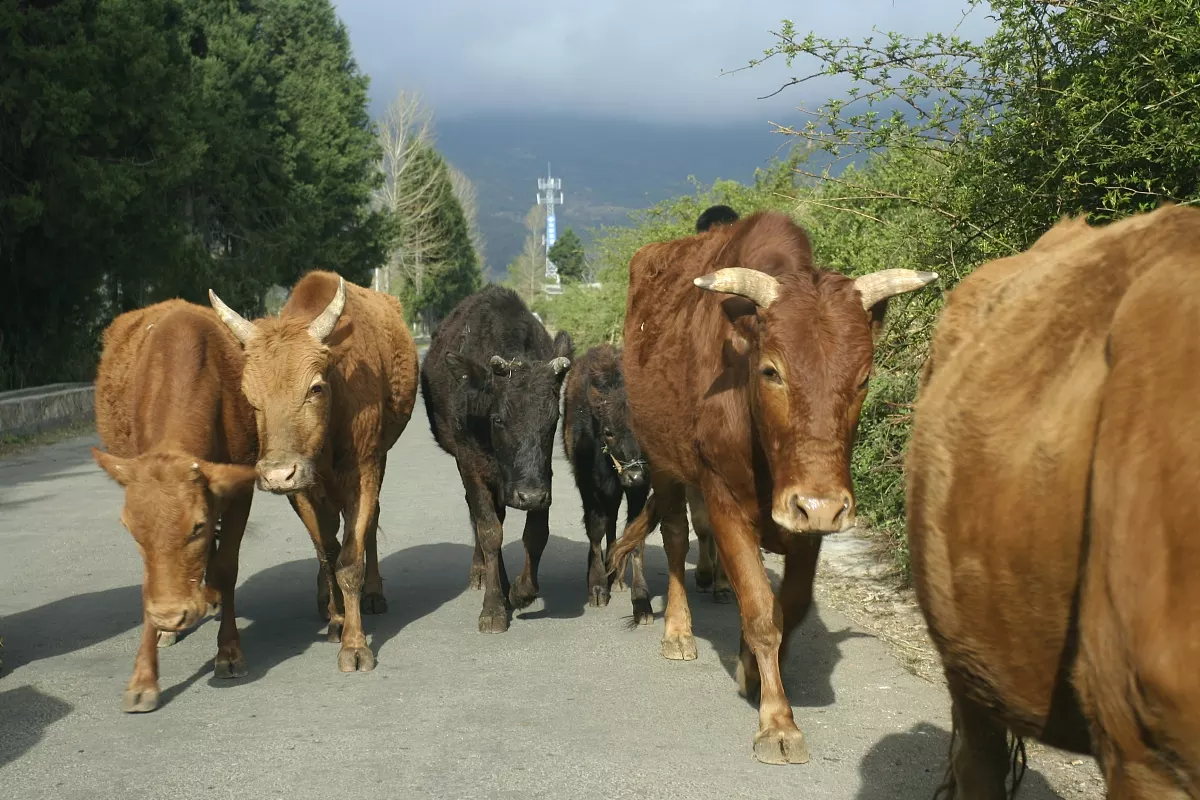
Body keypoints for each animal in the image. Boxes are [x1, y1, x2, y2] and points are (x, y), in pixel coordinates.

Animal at [94, 299, 260, 714]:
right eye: (130, 531)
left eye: (197, 526)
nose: (170, 614)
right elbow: (148, 582)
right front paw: (143, 678)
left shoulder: (239, 492)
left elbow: (226, 566)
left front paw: (229, 651)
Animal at [211, 272, 422, 671]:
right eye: (249, 397)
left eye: (315, 388)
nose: (277, 474)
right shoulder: (301, 489)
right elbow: (327, 552)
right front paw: (338, 620)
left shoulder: (364, 470)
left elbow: (349, 559)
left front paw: (355, 645)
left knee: (370, 523)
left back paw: (373, 594)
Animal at [420, 284, 573, 633]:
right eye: (499, 419)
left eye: (553, 420)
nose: (528, 496)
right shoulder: (470, 465)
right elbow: (489, 531)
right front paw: (493, 607)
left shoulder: (542, 476)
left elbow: (536, 534)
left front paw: (521, 590)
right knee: (483, 519)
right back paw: (484, 575)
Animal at [564, 347, 657, 623]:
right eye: (608, 432)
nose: (635, 476)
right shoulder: (588, 486)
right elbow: (596, 530)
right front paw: (597, 588)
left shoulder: (640, 491)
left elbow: (635, 538)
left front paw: (641, 602)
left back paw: (616, 575)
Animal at [609, 211, 936, 762]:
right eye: (771, 371)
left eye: (864, 378)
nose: (822, 506)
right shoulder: (722, 499)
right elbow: (763, 612)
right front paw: (778, 723)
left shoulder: (808, 518)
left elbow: (790, 606)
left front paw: (750, 668)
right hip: (663, 463)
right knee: (674, 539)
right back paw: (677, 630)